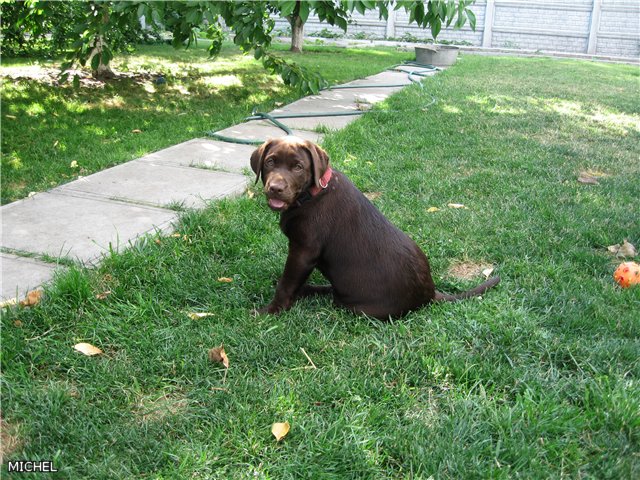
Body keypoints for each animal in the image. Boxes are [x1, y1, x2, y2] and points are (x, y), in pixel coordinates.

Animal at [250, 136, 500, 319]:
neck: (312, 193)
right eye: (270, 162)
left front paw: (269, 312)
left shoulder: (303, 251)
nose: (275, 188)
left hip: (357, 306)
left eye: (298, 167)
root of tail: (429, 293)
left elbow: (287, 284)